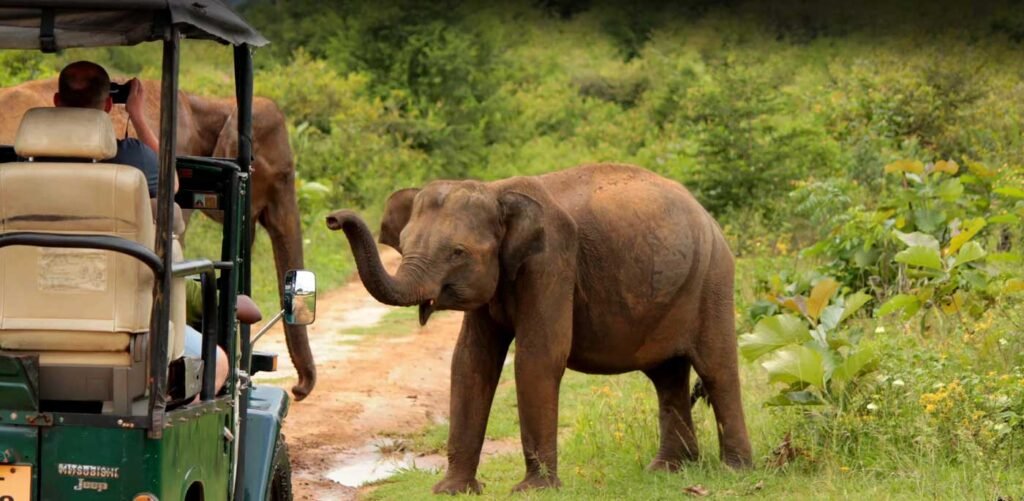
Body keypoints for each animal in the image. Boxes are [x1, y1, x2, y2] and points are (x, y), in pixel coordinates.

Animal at [325, 162, 753, 491]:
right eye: (406, 242)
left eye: (457, 252)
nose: (332, 218)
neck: (496, 190)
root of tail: (706, 215)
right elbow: (470, 361)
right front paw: (452, 491)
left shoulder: (552, 260)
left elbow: (539, 357)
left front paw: (533, 490)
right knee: (666, 376)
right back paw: (668, 469)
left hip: (713, 277)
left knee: (716, 369)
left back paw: (735, 471)